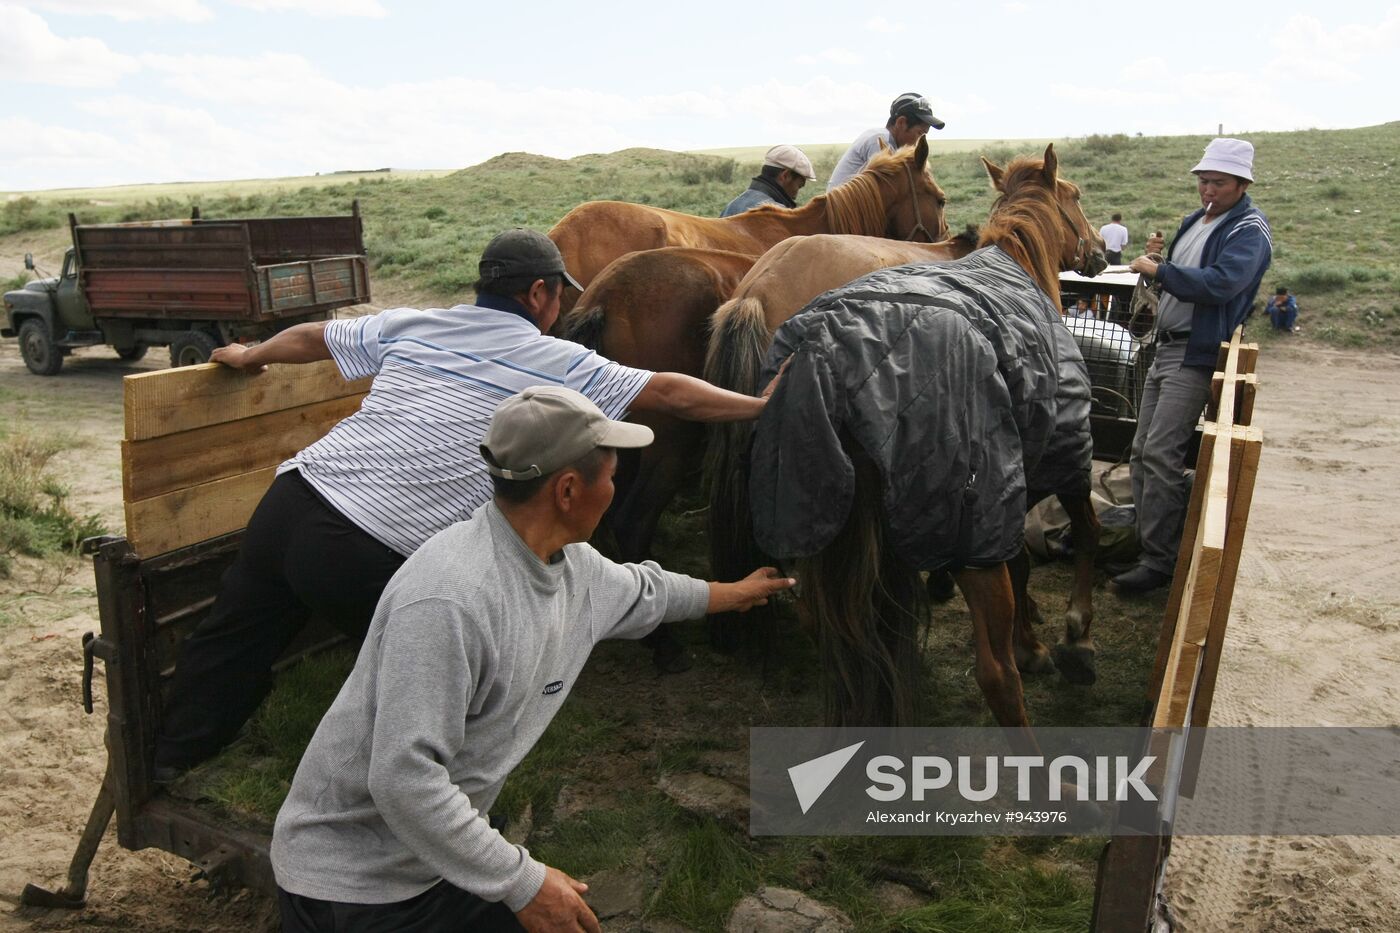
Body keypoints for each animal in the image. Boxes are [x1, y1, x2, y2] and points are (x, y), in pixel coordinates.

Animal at [722, 143, 1103, 739]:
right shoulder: (1053, 457)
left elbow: (1022, 557)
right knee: (993, 673)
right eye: (1077, 196)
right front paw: (1069, 636)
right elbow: (1082, 535)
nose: (1101, 254)